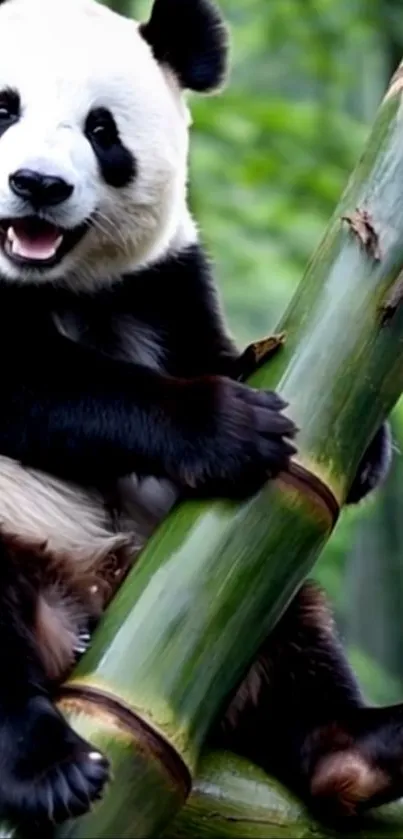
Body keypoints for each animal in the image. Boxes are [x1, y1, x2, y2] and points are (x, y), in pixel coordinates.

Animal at [0, 0, 398, 832]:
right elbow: (41, 385)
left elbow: (212, 348)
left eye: (101, 130)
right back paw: (45, 766)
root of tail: (75, 616)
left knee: (298, 637)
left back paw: (362, 748)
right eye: (3, 107)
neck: (46, 282)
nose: (38, 186)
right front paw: (224, 427)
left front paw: (366, 449)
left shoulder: (164, 282)